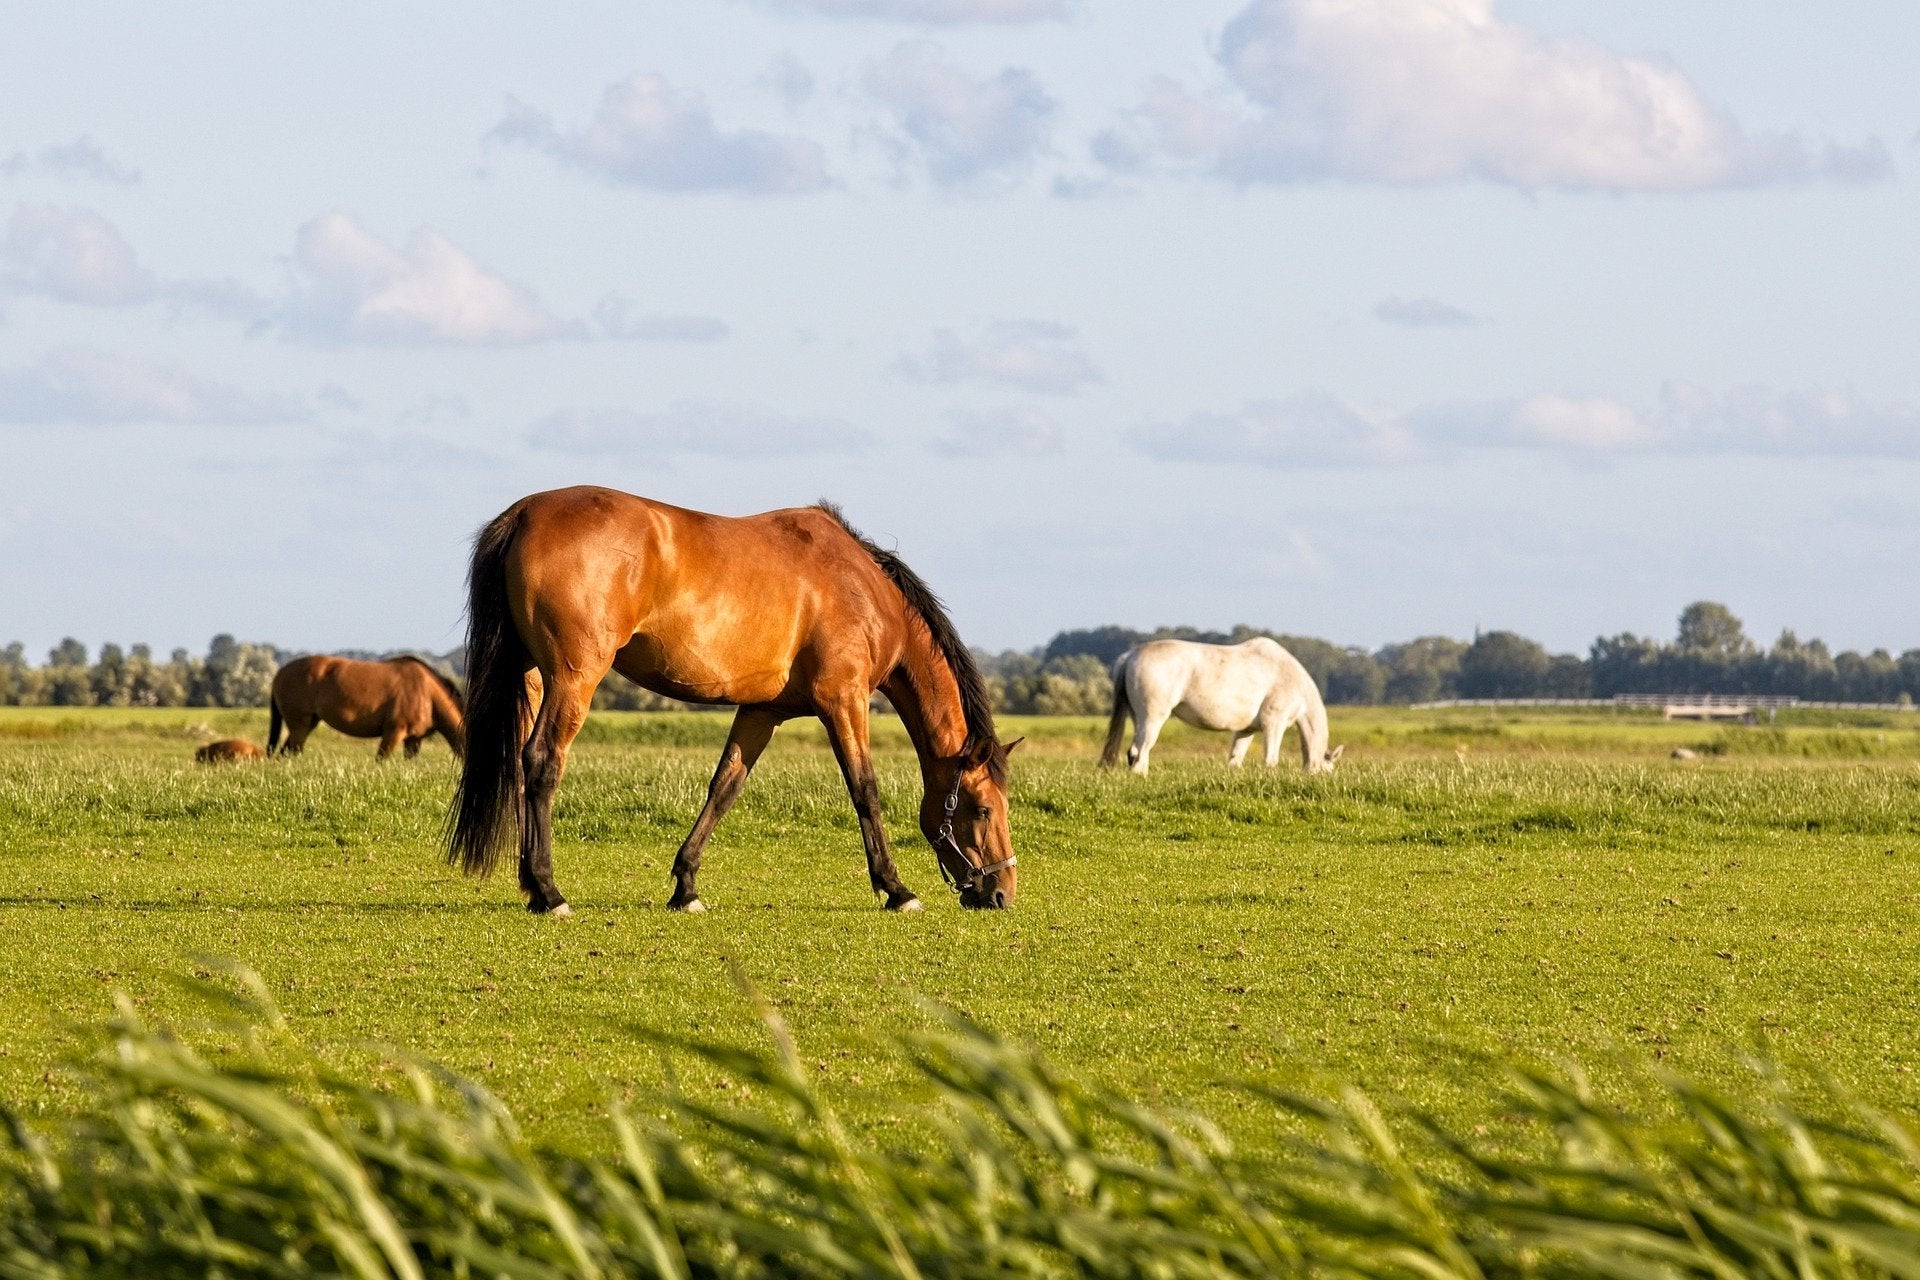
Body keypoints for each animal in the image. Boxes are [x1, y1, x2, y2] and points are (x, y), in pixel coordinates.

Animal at [268, 655, 466, 759]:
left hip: (309, 723)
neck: (426, 693)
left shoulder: (413, 740)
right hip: (299, 725)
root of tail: (279, 673)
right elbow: (381, 760)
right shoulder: (393, 732)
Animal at [446, 486, 1020, 917]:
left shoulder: (763, 711)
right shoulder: (844, 700)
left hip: (530, 679)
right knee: (542, 762)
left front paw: (686, 887)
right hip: (573, 679)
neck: (862, 589)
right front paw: (897, 890)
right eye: (984, 808)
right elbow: (865, 790)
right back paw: (549, 892)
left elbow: (724, 788)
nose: (1000, 894)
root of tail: (524, 514)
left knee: (521, 767)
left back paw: (532, 887)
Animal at [1100, 637, 1343, 775]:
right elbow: (1271, 760)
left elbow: (1235, 759)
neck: (1291, 679)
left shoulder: (1246, 731)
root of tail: (1131, 655)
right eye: (1328, 771)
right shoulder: (1274, 723)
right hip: (1152, 719)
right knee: (1140, 751)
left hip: (1138, 719)